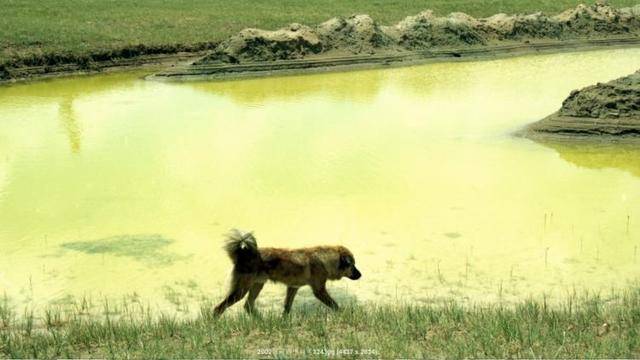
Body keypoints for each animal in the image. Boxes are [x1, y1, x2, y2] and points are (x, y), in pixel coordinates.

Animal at [214, 229, 360, 316]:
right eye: (352, 265)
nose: (361, 275)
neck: (324, 259)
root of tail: (243, 255)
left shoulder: (293, 287)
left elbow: (287, 307)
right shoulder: (319, 290)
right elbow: (334, 305)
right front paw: (343, 314)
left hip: (257, 286)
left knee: (247, 306)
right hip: (240, 290)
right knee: (219, 308)